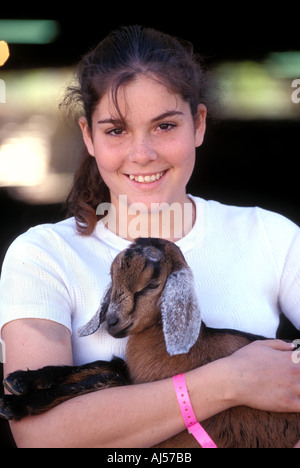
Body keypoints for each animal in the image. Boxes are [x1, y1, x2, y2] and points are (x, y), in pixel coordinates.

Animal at [0, 239, 300, 448]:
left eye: (152, 285)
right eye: (112, 278)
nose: (112, 321)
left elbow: (108, 377)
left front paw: (15, 404)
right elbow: (106, 368)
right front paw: (21, 380)